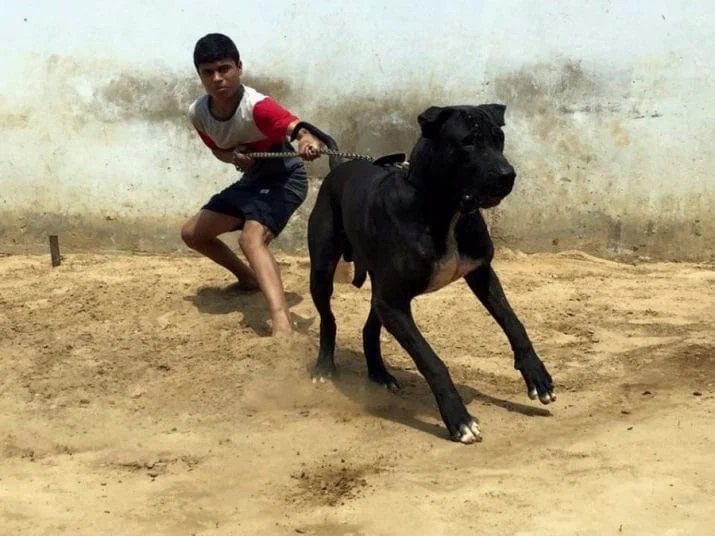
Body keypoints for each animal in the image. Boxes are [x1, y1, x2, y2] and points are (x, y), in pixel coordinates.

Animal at [296, 104, 552, 444]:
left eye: (499, 138)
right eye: (467, 141)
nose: (507, 175)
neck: (444, 210)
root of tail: (340, 166)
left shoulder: (480, 273)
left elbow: (514, 323)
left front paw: (536, 375)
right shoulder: (394, 303)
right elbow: (431, 361)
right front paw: (459, 419)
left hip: (380, 289)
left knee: (369, 327)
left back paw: (379, 373)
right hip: (324, 271)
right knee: (328, 319)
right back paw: (325, 368)